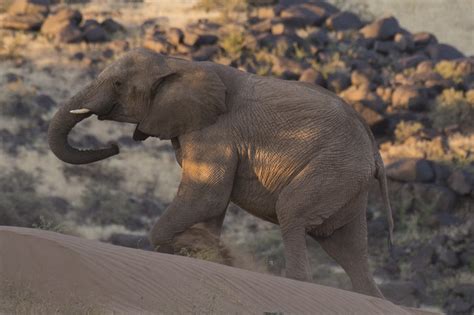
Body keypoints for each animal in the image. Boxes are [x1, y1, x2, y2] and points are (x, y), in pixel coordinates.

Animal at [48, 48, 394, 300]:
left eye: (119, 84)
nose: (114, 146)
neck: (176, 63)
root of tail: (374, 151)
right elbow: (210, 204)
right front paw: (208, 251)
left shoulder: (215, 132)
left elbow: (207, 196)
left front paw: (204, 250)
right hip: (347, 181)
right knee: (347, 247)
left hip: (333, 168)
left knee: (292, 213)